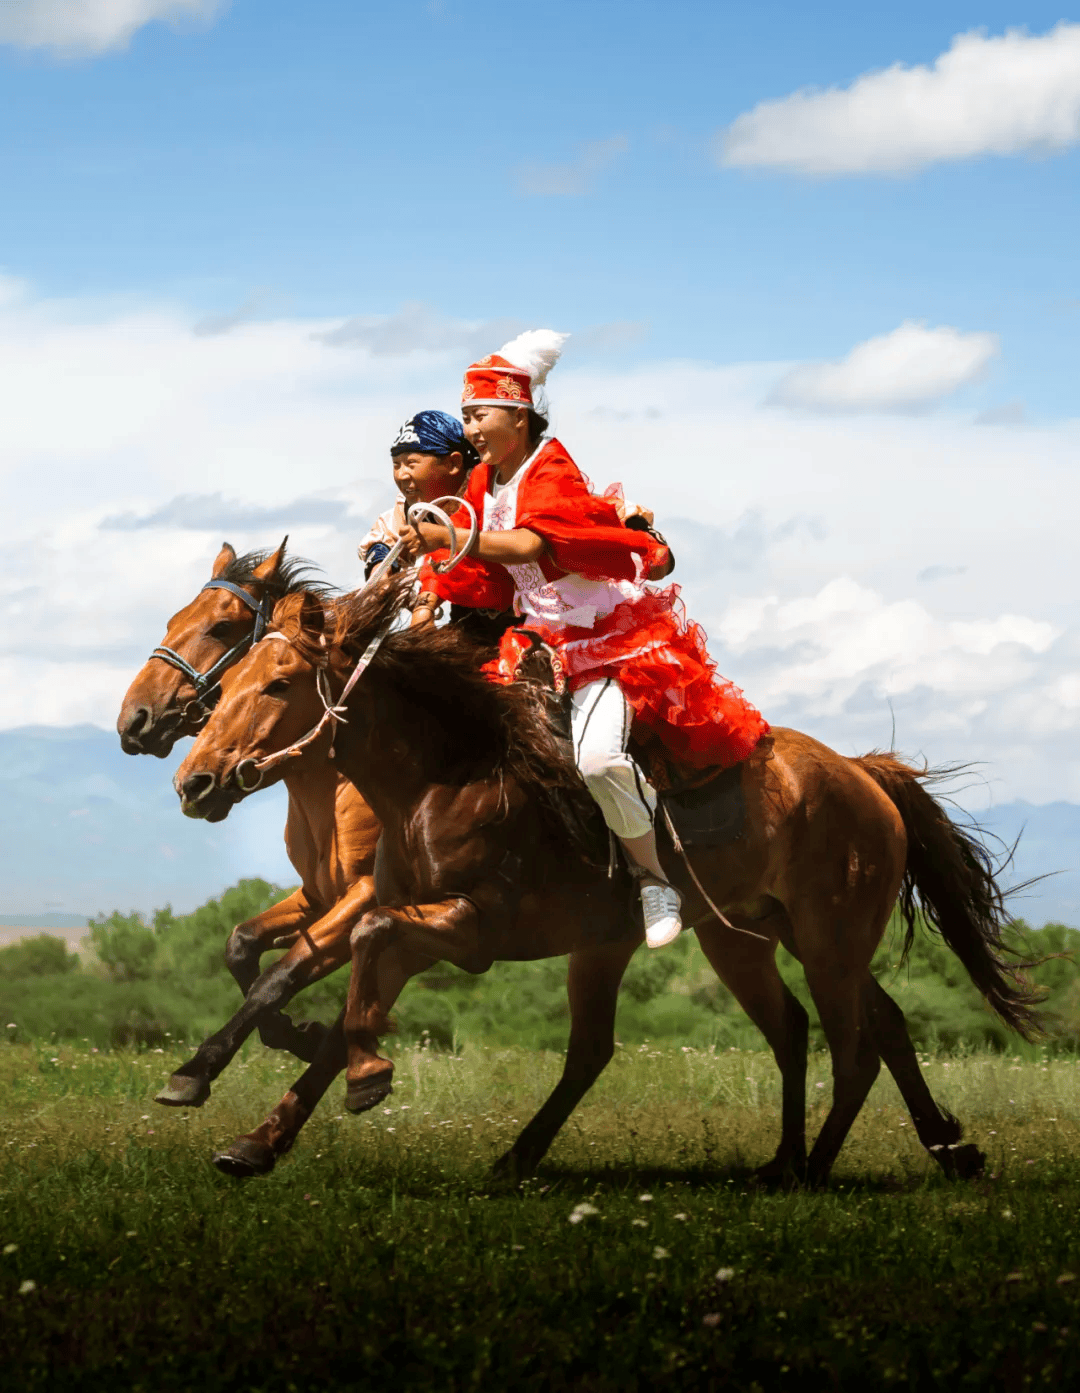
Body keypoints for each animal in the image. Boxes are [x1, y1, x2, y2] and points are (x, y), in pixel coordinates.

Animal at [171, 576, 1036, 1186]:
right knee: (824, 1026)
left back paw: (816, 1166)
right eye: (231, 679)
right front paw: (260, 1135)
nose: (195, 780)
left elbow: (361, 952)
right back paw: (870, 1153)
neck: (447, 773)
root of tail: (862, 772)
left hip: (825, 942)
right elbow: (347, 1002)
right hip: (749, 937)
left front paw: (362, 1075)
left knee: (851, 1044)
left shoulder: (469, 926)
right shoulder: (414, 920)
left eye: (278, 683)